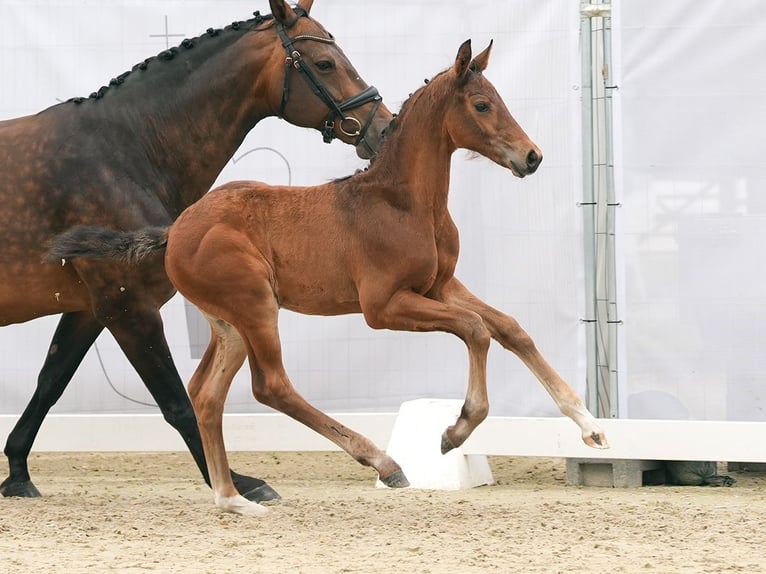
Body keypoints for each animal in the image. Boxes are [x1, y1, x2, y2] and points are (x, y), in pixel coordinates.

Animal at [0, 0, 392, 504]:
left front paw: (18, 473)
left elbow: (49, 383)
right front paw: (237, 484)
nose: (383, 127)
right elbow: (178, 403)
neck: (122, 153)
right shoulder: (129, 307)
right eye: (325, 64)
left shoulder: (91, 309)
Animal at [49, 40, 612, 516]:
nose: (532, 157)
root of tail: (176, 229)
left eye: (497, 99)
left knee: (206, 395)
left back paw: (232, 499)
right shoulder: (383, 306)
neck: (404, 201)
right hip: (256, 306)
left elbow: (510, 328)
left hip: (229, 325)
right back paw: (383, 462)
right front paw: (455, 431)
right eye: (480, 105)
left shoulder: (440, 285)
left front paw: (591, 428)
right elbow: (476, 330)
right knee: (271, 386)